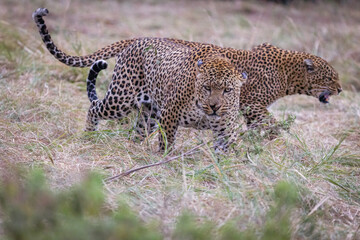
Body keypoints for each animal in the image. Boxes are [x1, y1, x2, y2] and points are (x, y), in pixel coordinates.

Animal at [32, 7, 342, 137]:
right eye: (331, 77)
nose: (340, 89)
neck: (290, 74)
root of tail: (139, 38)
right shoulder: (252, 103)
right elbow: (269, 121)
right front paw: (276, 137)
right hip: (123, 97)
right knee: (96, 108)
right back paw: (89, 135)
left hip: (151, 107)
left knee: (139, 128)